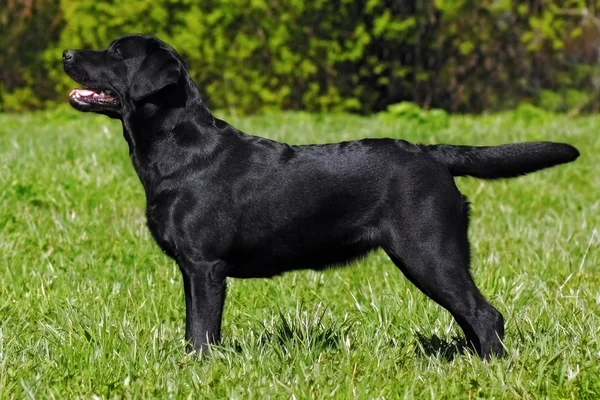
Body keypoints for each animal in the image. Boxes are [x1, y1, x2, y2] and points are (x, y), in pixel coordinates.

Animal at [63, 34, 580, 360]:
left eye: (115, 52)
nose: (66, 53)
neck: (177, 149)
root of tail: (432, 153)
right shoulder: (191, 270)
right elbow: (193, 329)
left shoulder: (205, 266)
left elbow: (202, 332)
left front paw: (198, 371)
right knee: (473, 317)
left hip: (429, 253)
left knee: (485, 315)